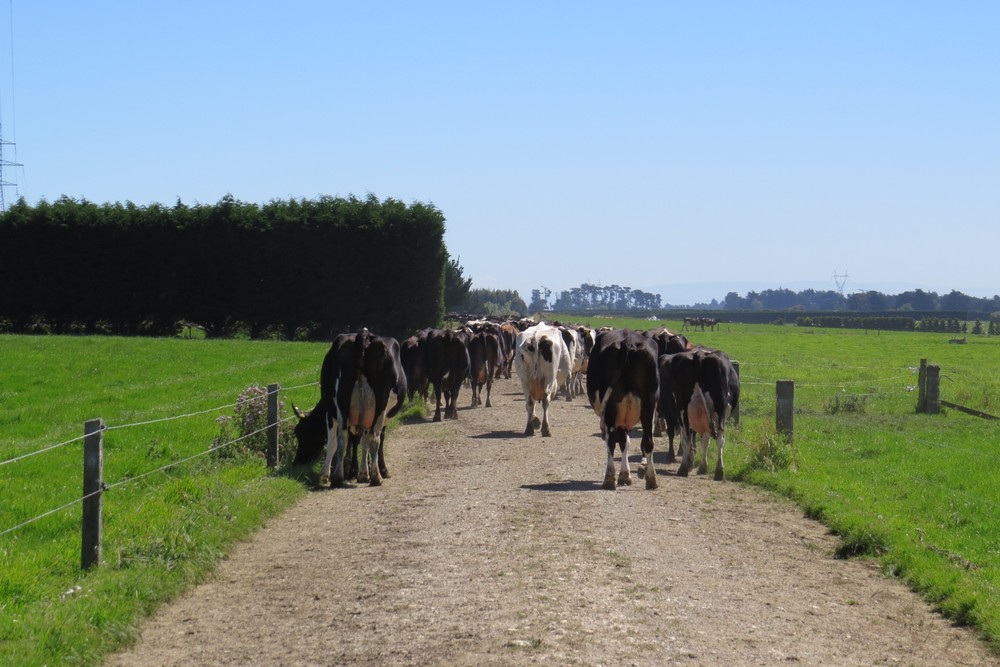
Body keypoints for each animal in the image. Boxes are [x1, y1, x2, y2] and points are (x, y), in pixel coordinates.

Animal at [292, 329, 407, 487]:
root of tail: (364, 335)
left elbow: (346, 441)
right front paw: (363, 471)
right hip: (377, 405)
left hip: (344, 403)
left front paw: (358, 472)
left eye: (304, 433)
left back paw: (340, 476)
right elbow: (363, 441)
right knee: (370, 437)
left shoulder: (332, 413)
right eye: (297, 433)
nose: (297, 463)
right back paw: (371, 476)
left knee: (343, 437)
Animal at [585, 328, 660, 490]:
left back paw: (609, 478)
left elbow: (622, 441)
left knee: (611, 441)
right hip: (649, 403)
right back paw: (652, 480)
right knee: (648, 442)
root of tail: (628, 341)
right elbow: (626, 442)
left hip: (611, 407)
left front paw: (624, 476)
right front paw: (625, 475)